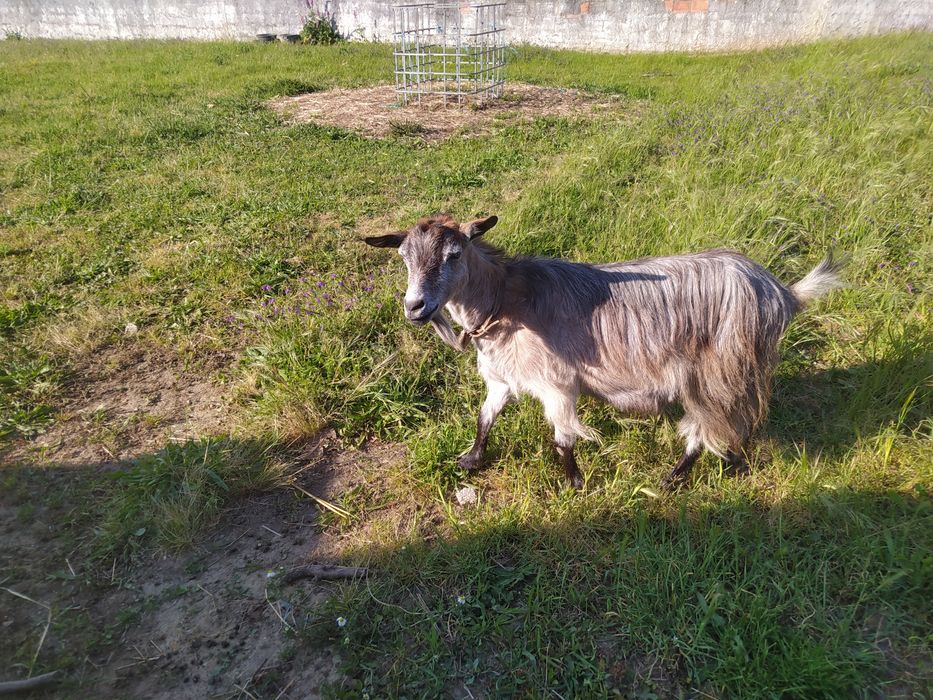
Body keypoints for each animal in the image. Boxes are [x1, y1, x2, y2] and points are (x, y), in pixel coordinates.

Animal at [365, 214, 842, 489]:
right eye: (403, 257)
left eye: (454, 253)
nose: (414, 307)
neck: (505, 301)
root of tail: (781, 292)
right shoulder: (502, 379)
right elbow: (485, 418)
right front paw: (471, 459)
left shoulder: (557, 384)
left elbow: (562, 438)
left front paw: (574, 483)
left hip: (717, 370)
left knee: (707, 426)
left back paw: (673, 478)